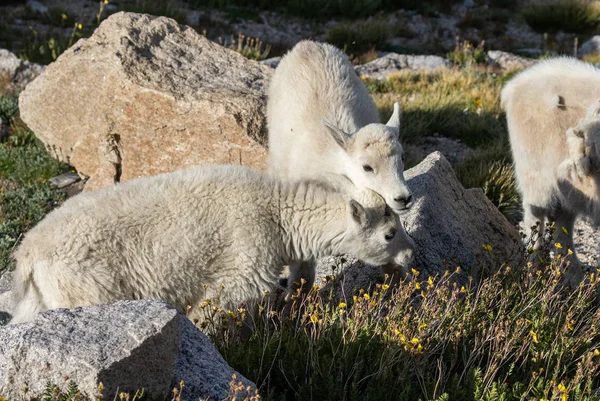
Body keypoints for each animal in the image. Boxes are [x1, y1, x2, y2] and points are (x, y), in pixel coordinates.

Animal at [500, 56, 600, 282]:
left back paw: (570, 274)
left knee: (562, 225)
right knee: (535, 218)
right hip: (535, 173)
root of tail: (514, 85)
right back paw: (534, 267)